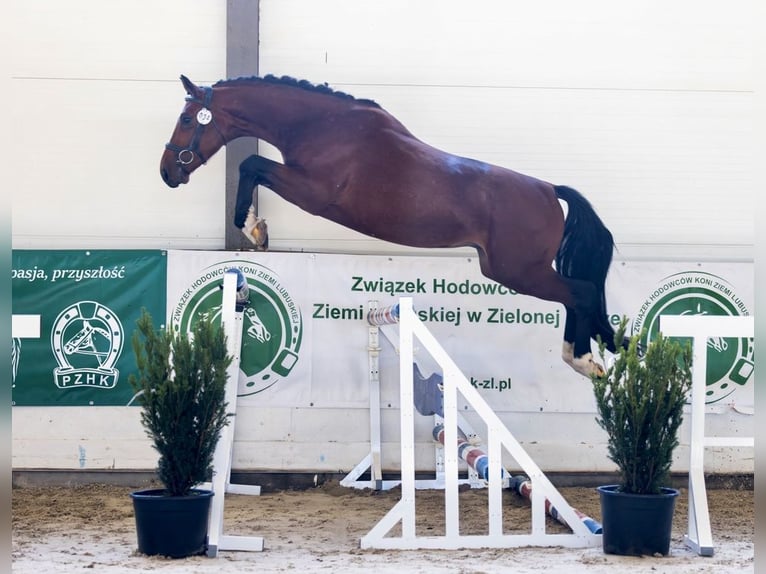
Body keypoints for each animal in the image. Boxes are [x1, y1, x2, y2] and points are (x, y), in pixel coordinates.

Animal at [160, 74, 625, 377]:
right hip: (509, 270)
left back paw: (584, 360)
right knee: (578, 296)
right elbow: (253, 167)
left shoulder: (313, 193)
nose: (167, 172)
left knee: (582, 293)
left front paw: (253, 228)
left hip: (518, 272)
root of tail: (550, 191)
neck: (322, 126)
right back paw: (586, 359)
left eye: (186, 120)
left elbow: (251, 164)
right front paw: (257, 229)